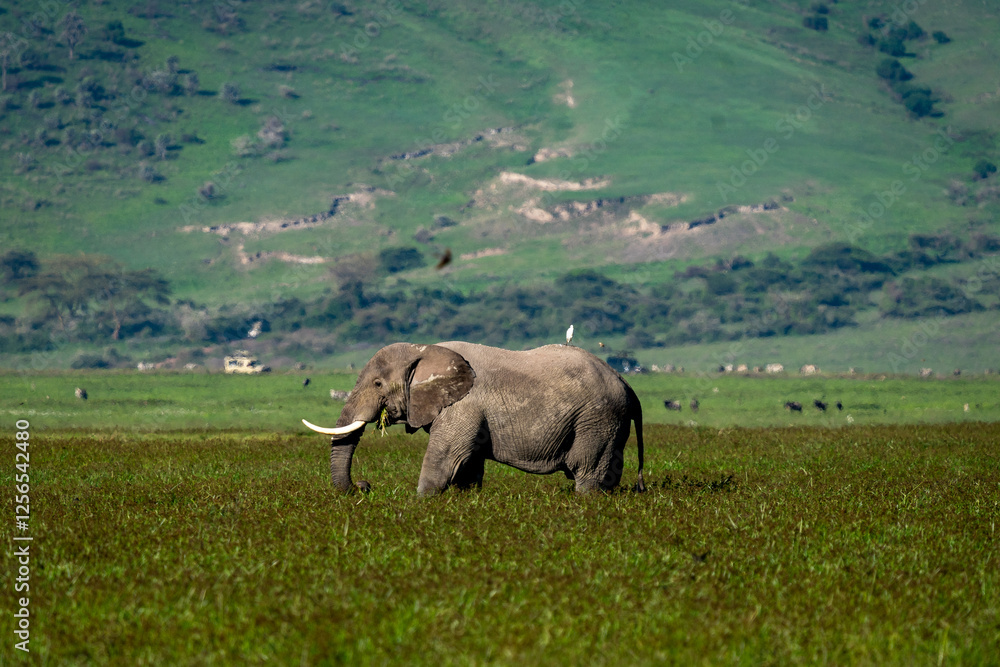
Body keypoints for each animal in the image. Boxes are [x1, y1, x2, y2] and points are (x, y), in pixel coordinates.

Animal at [302, 342, 646, 495]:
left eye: (377, 384)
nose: (365, 485)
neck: (425, 350)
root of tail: (626, 384)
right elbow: (467, 467)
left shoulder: (463, 406)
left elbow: (445, 459)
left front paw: (421, 503)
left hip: (598, 420)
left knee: (587, 472)